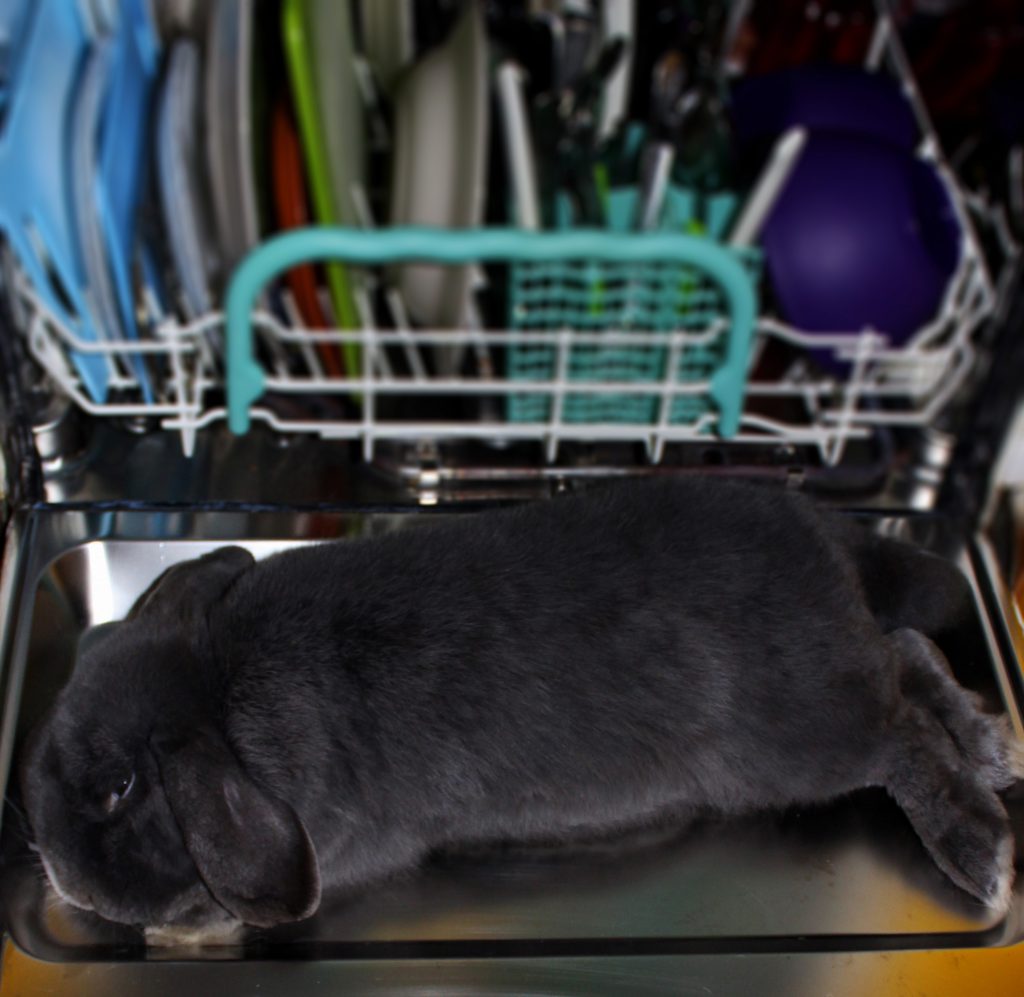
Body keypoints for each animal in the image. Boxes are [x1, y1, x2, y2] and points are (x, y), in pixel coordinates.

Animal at [18, 479, 1024, 945]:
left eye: (117, 789)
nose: (52, 862)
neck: (215, 690)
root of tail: (824, 536)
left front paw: (188, 925)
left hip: (804, 735)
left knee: (901, 721)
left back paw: (981, 845)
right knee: (910, 652)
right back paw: (994, 739)